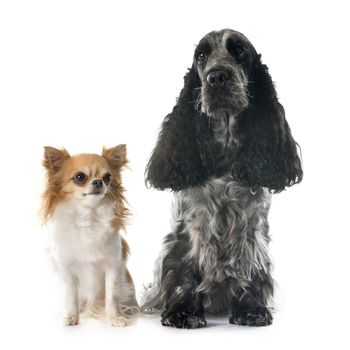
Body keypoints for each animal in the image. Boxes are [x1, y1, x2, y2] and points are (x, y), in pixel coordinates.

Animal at [41, 144, 139, 326]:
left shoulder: (113, 266)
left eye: (108, 177)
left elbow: (112, 295)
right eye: (80, 177)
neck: (89, 216)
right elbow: (72, 296)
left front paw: (114, 318)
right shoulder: (68, 268)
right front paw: (72, 317)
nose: (99, 182)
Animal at [142, 29, 304, 328]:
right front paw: (183, 312)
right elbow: (185, 273)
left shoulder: (252, 228)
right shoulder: (189, 228)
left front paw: (251, 309)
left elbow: (249, 268)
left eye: (239, 51)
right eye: (201, 56)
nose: (216, 77)